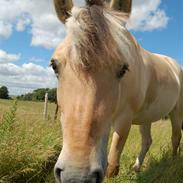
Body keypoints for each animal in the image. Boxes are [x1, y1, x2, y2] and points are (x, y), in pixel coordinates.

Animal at [50, 0, 183, 182]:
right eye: (54, 65)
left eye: (123, 69)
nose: (76, 176)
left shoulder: (124, 120)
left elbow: (112, 166)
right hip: (147, 116)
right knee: (147, 141)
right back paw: (137, 167)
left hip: (176, 113)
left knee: (175, 138)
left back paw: (172, 162)